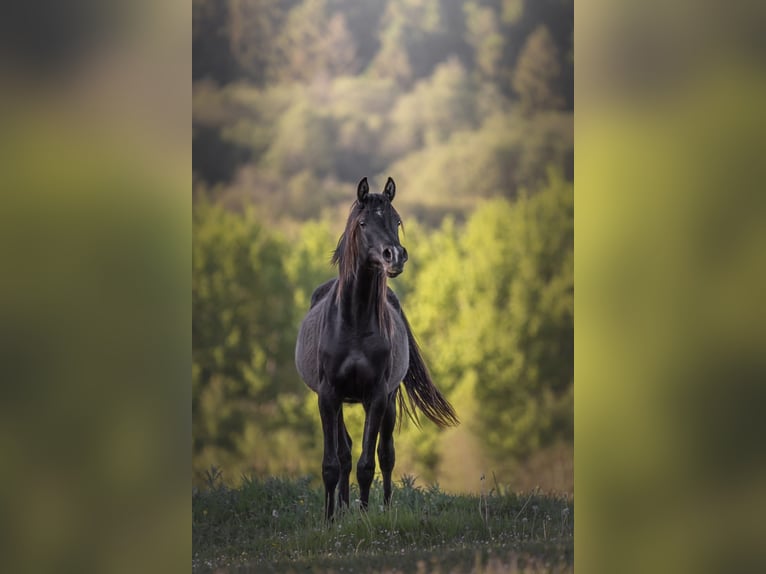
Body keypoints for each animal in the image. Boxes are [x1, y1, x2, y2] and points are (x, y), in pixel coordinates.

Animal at [295, 176, 459, 521]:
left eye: (396, 221)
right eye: (363, 223)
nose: (393, 255)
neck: (354, 322)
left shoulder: (378, 395)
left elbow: (368, 464)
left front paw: (367, 517)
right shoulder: (328, 395)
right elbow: (332, 463)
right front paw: (329, 519)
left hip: (389, 402)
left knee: (386, 455)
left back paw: (381, 507)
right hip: (339, 402)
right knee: (344, 452)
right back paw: (342, 509)